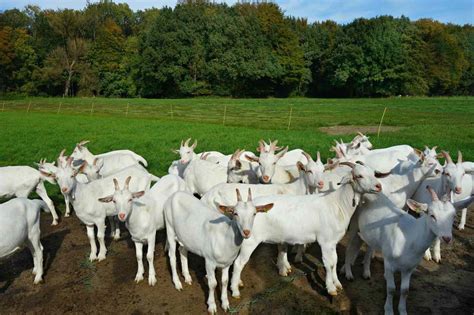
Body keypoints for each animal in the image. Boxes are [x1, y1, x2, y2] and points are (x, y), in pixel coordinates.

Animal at [231, 162, 386, 298]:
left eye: (373, 173)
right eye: (359, 176)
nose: (379, 186)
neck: (338, 204)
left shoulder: (333, 242)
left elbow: (335, 262)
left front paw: (337, 283)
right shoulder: (325, 241)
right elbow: (328, 264)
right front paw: (331, 289)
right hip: (250, 239)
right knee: (239, 263)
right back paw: (234, 290)